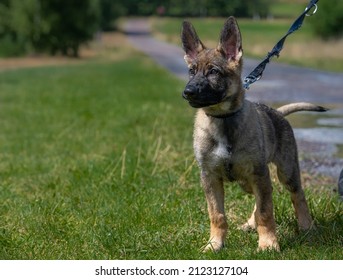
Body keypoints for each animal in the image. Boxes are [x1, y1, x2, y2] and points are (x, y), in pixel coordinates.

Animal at [181, 16, 326, 250]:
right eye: (191, 71)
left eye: (214, 72)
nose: (188, 92)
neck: (223, 119)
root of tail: (277, 113)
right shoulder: (209, 177)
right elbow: (217, 214)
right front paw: (215, 244)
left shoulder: (258, 173)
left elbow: (267, 211)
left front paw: (268, 244)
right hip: (248, 181)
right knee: (261, 200)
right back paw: (251, 224)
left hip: (285, 171)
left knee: (296, 195)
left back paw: (306, 226)